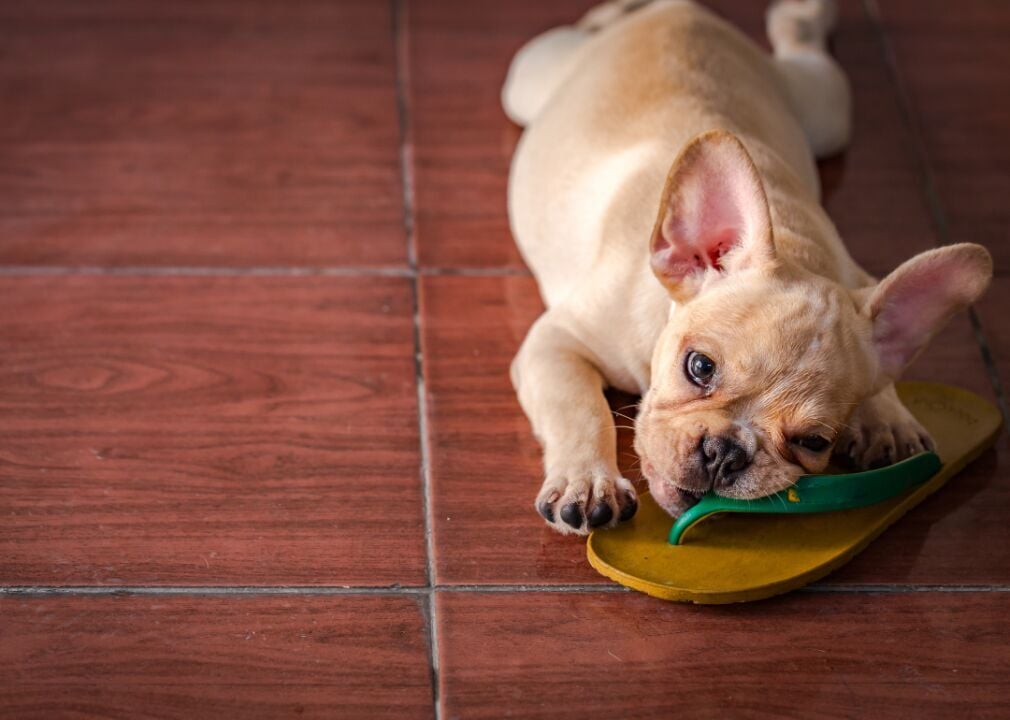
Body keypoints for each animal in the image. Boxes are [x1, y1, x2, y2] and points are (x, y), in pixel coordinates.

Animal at [500, 0, 989, 533]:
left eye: (814, 442)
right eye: (699, 367)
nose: (724, 452)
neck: (797, 247)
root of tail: (681, 10)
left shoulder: (859, 281)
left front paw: (888, 418)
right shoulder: (557, 341)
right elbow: (579, 407)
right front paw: (588, 481)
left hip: (822, 111)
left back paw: (803, 18)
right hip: (530, 80)